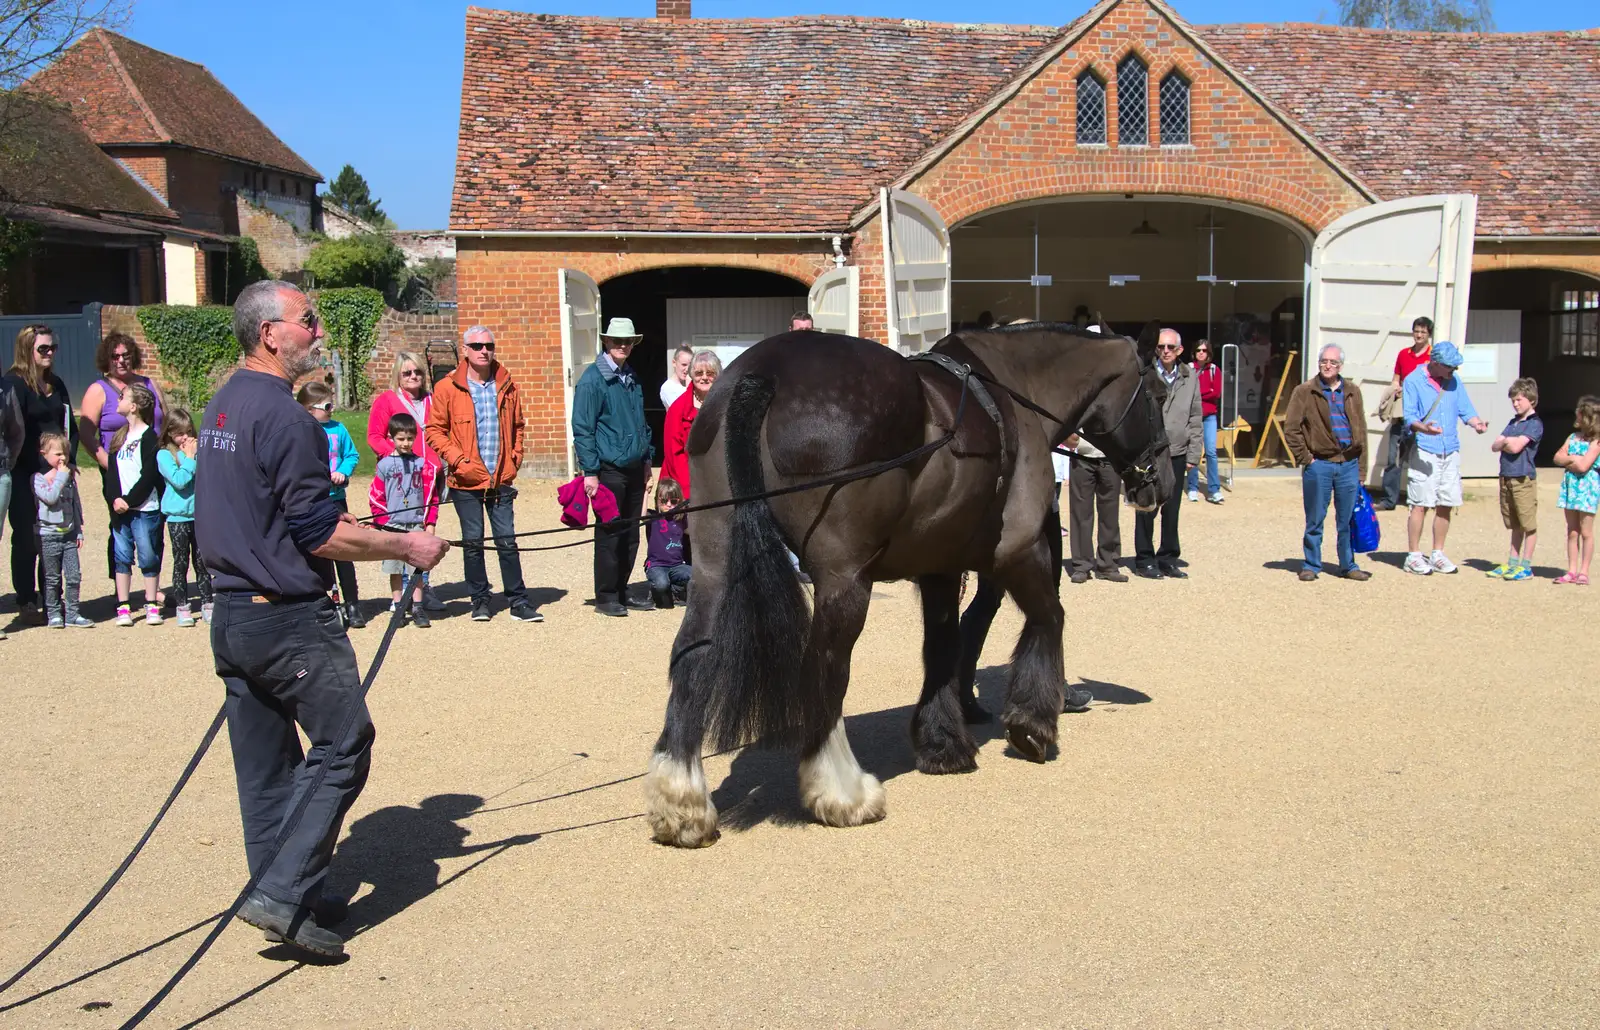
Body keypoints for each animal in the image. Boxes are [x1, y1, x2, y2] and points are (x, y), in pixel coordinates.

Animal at [640, 321, 1177, 844]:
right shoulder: (1019, 551)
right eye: (1155, 393)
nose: (1164, 482)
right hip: (844, 580)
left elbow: (942, 646)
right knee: (826, 665)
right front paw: (1033, 725)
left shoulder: (940, 565)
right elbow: (1049, 618)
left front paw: (943, 745)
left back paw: (682, 803)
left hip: (716, 562)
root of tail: (764, 373)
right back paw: (842, 792)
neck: (1014, 391)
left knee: (693, 656)